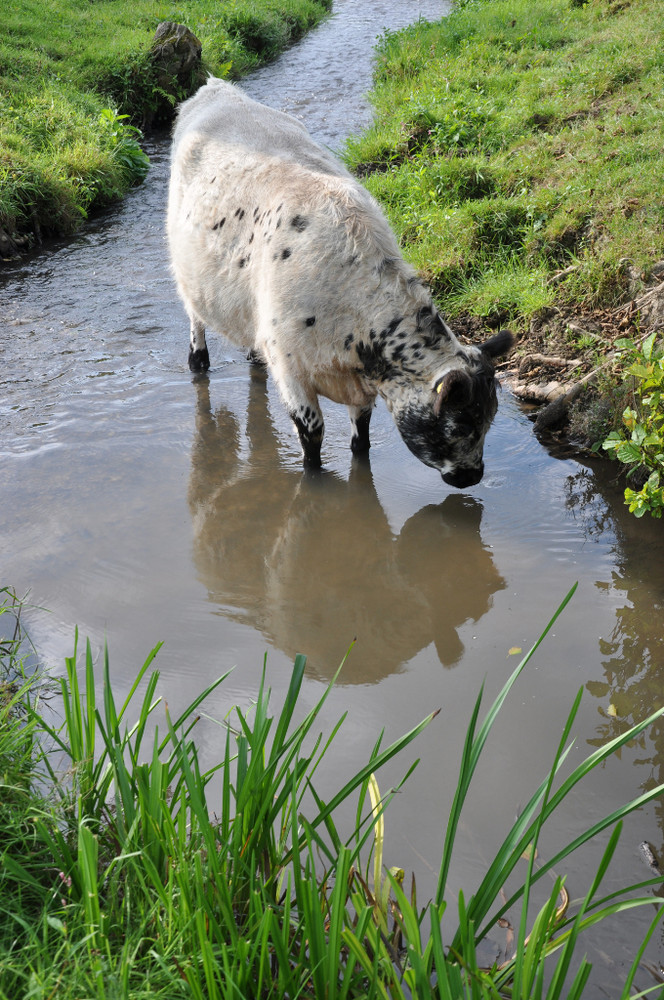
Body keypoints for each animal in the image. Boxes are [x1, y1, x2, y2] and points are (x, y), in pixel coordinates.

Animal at [167, 77, 512, 488]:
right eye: (460, 427)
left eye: (490, 420)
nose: (474, 476)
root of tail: (215, 89)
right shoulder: (293, 373)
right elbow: (313, 438)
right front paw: (314, 482)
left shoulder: (360, 384)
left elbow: (361, 437)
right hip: (187, 274)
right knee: (195, 319)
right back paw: (198, 361)